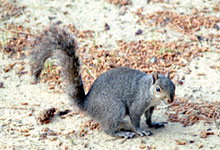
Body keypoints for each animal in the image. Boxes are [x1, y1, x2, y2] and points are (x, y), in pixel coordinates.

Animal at [30, 25, 175, 138]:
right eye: (158, 89)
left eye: (174, 87)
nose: (170, 100)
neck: (148, 90)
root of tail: (87, 105)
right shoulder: (137, 104)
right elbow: (135, 120)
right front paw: (140, 130)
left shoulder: (150, 106)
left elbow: (149, 117)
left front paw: (153, 124)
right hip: (115, 108)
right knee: (108, 130)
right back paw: (124, 133)